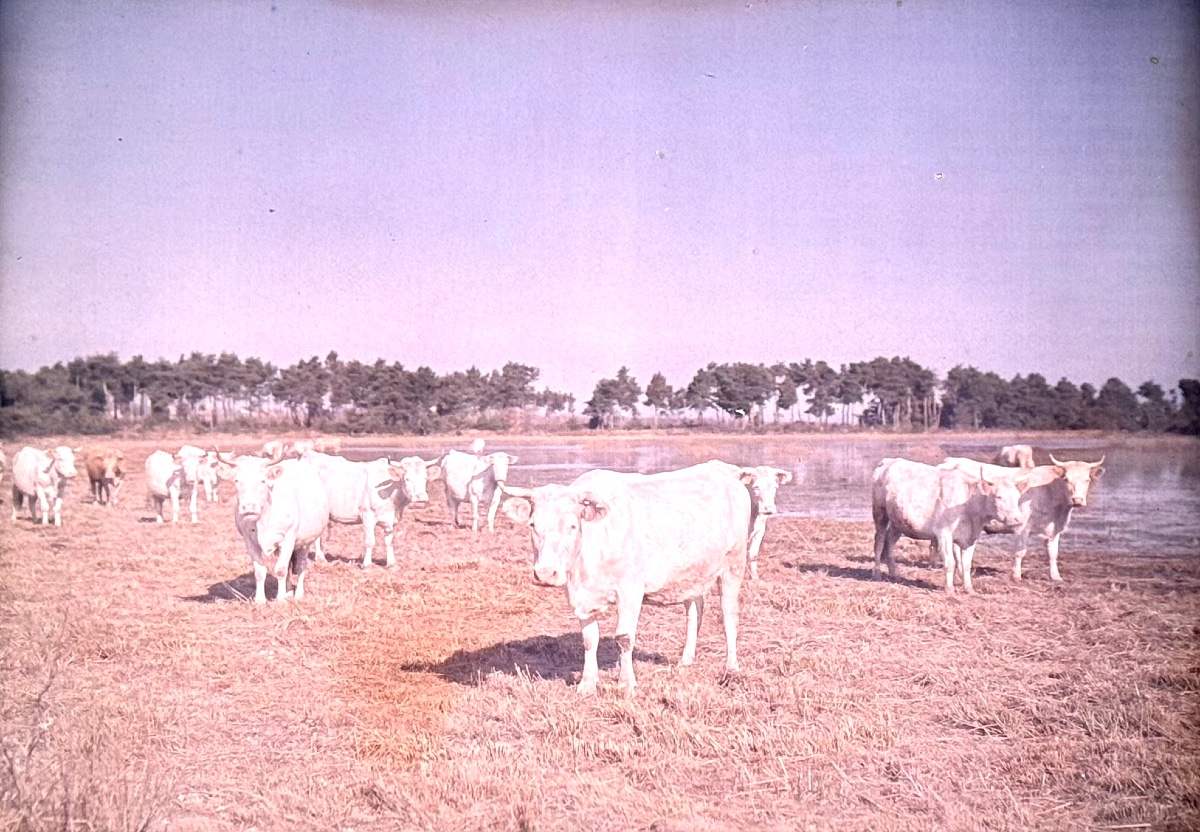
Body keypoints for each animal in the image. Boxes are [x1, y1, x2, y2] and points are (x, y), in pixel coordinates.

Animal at [217, 456, 330, 603]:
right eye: (237, 480)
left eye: (263, 480)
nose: (249, 507)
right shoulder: (250, 542)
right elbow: (260, 571)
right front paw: (260, 600)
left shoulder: (288, 539)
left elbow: (280, 570)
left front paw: (280, 599)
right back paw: (288, 591)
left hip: (306, 542)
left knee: (301, 565)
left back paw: (298, 593)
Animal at [301, 451, 442, 568]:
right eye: (407, 479)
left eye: (425, 478)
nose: (421, 497)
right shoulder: (367, 516)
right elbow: (370, 541)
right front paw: (367, 564)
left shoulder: (390, 520)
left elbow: (389, 541)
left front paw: (391, 564)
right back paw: (318, 557)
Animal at [500, 460, 754, 698]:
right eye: (532, 525)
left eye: (572, 526)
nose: (545, 573)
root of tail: (724, 470)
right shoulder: (580, 596)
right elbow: (589, 639)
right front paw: (587, 684)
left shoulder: (630, 590)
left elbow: (624, 638)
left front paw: (626, 683)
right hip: (692, 572)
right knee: (695, 610)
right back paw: (686, 660)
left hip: (734, 563)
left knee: (729, 615)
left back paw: (731, 668)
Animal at [872, 458, 1030, 595]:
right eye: (998, 496)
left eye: (1017, 497)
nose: (1018, 519)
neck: (968, 503)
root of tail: (889, 461)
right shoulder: (944, 533)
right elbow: (950, 562)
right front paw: (949, 589)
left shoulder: (971, 537)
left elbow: (966, 565)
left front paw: (969, 589)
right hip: (880, 513)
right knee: (879, 542)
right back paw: (877, 573)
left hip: (898, 522)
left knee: (890, 541)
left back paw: (894, 572)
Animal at [939, 455, 1104, 582]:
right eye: (1066, 479)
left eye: (1087, 480)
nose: (1077, 500)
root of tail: (949, 461)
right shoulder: (1023, 527)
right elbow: (1020, 552)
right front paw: (1017, 576)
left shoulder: (1054, 528)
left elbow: (1053, 553)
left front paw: (1056, 576)